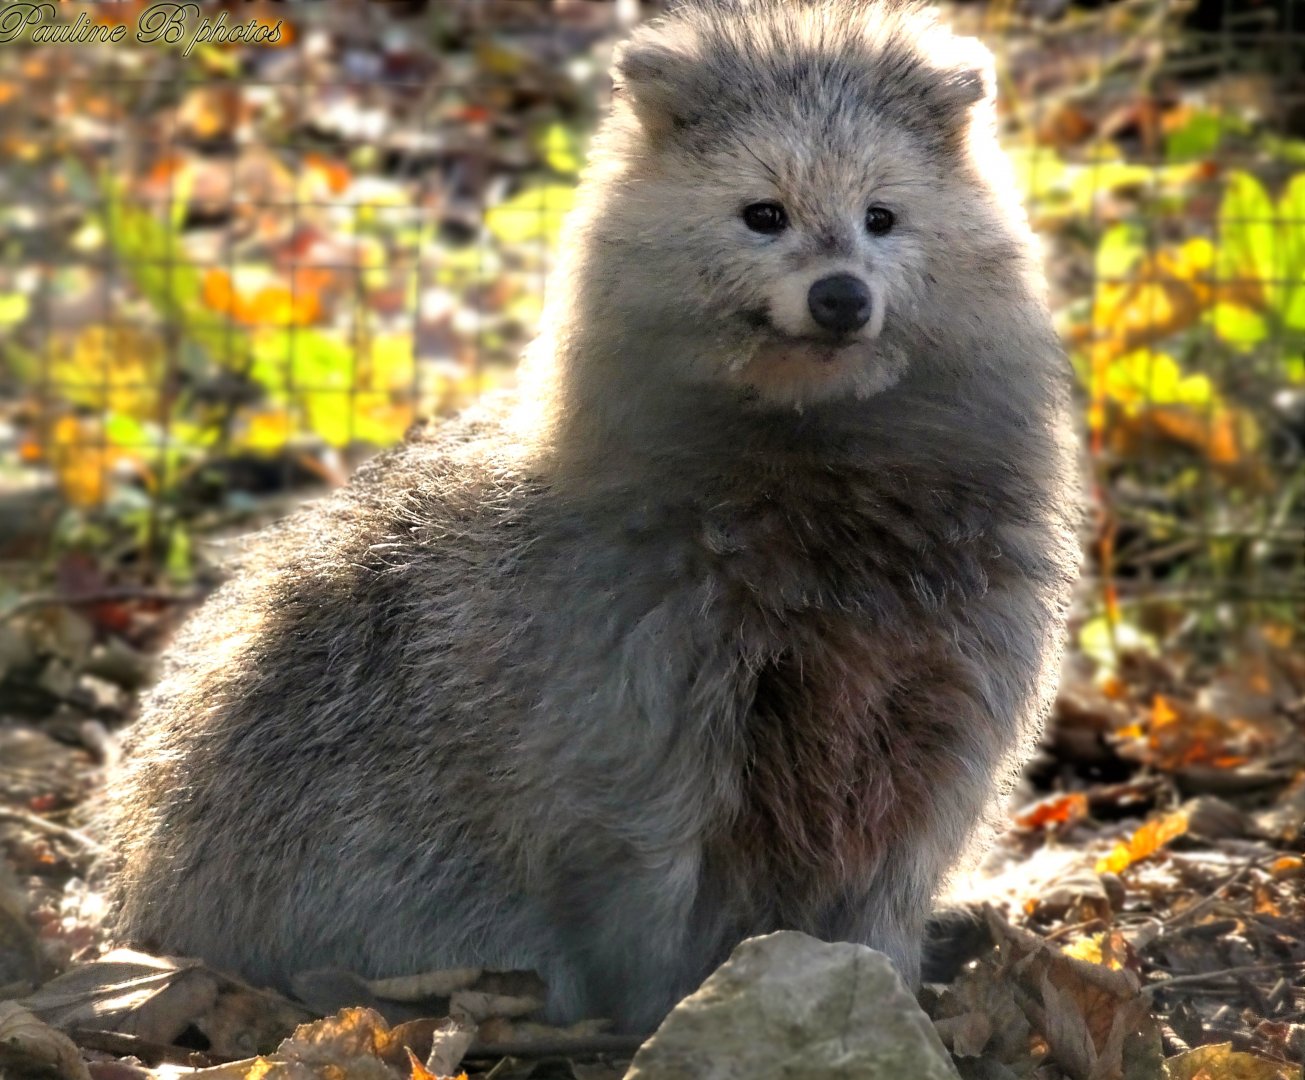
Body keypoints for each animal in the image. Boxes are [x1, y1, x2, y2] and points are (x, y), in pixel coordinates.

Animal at [101, 0, 1080, 1033]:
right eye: (762, 214)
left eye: (881, 218)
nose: (840, 297)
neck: (818, 466)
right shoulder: (639, 708)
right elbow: (647, 870)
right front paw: (673, 1010)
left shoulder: (943, 693)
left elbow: (892, 869)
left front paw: (881, 981)